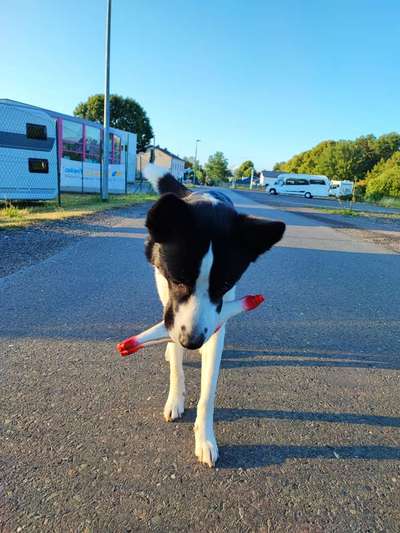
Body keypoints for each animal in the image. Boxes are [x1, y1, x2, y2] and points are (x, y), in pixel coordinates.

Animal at [144, 165, 284, 466]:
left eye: (224, 284)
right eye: (178, 279)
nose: (193, 342)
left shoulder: (217, 319)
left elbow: (208, 391)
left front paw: (205, 437)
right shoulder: (173, 311)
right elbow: (176, 365)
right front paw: (176, 397)